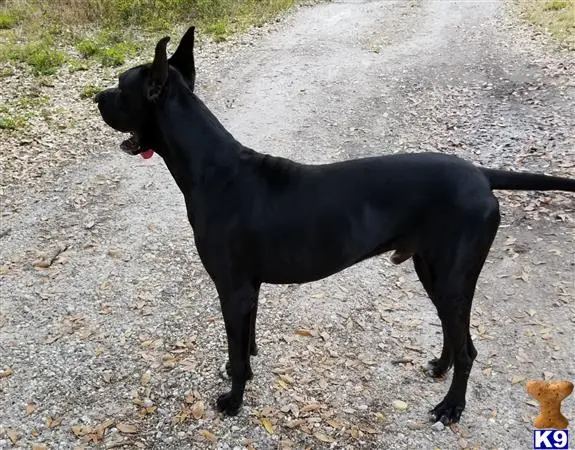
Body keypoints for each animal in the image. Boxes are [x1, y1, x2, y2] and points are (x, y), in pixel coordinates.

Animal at [97, 28, 575, 426]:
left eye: (121, 87)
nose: (97, 98)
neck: (213, 169)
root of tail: (480, 174)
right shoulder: (248, 290)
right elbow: (246, 342)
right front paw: (243, 371)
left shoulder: (232, 289)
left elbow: (236, 349)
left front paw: (233, 400)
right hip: (432, 270)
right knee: (452, 334)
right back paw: (440, 367)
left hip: (454, 276)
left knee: (469, 350)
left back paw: (451, 407)